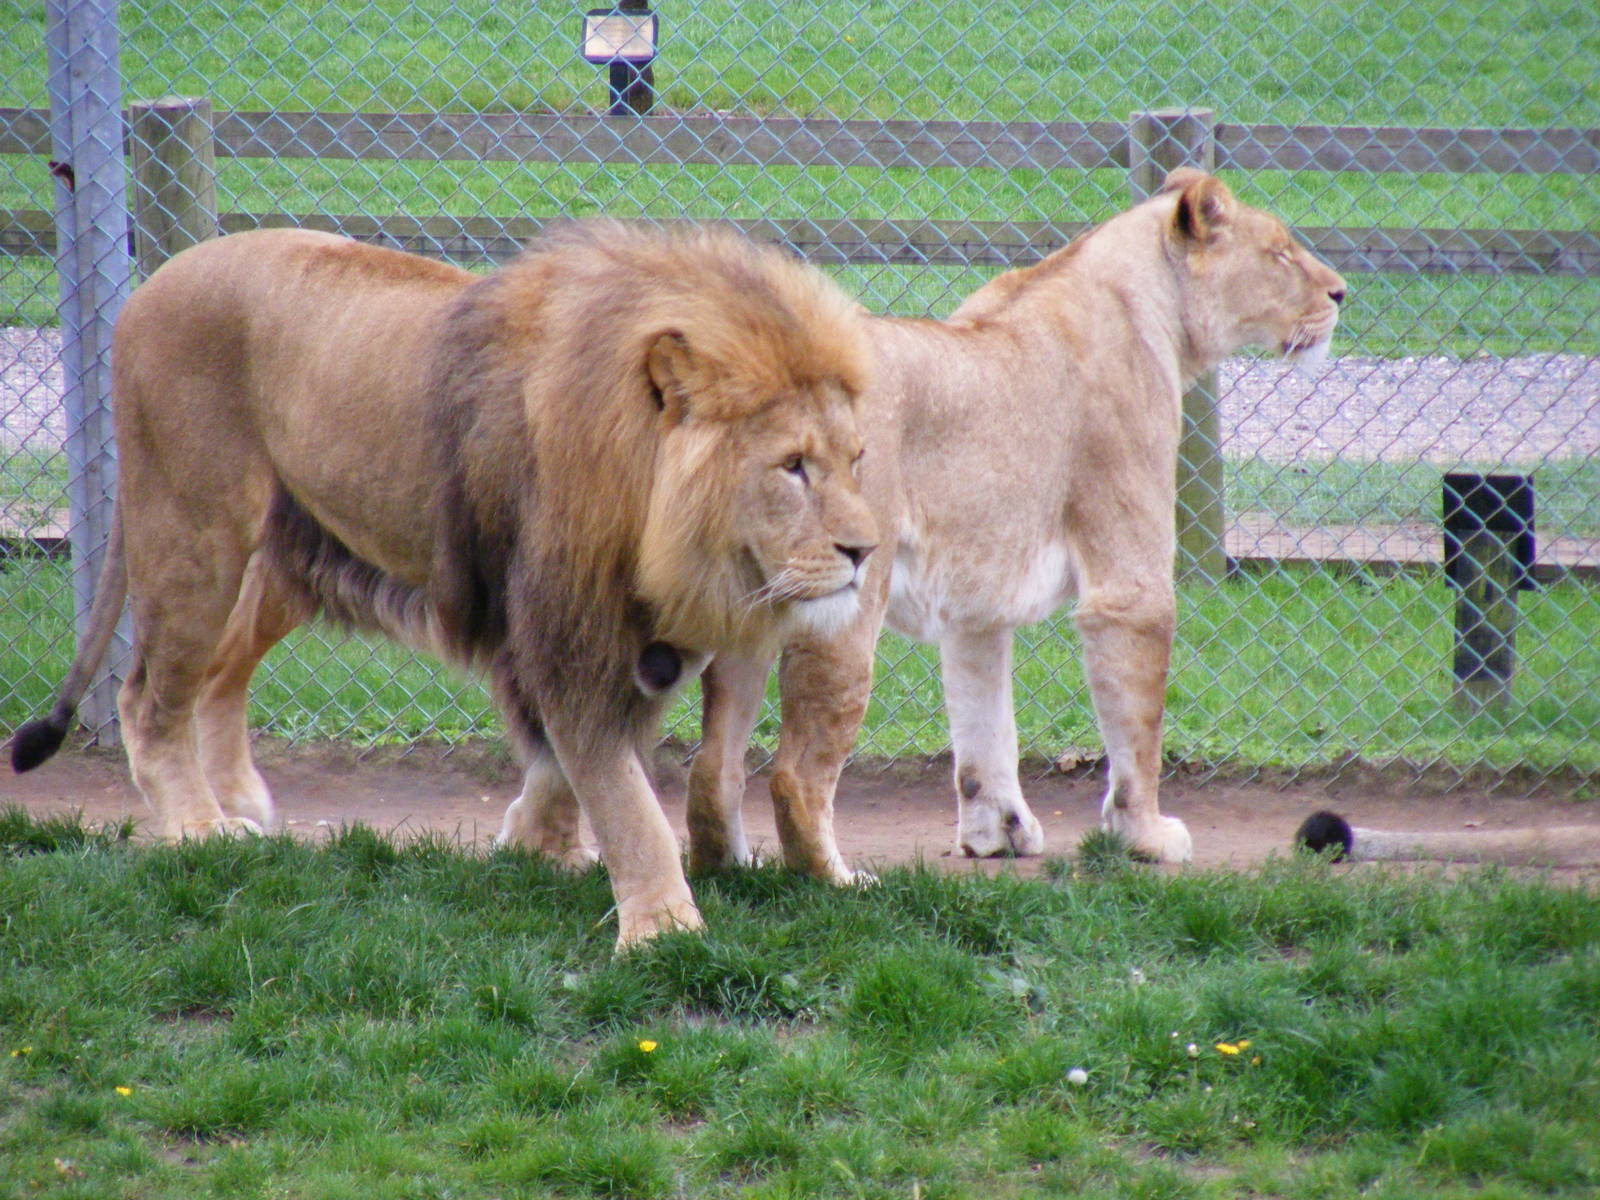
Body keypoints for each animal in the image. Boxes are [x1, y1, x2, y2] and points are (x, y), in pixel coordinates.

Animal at [7, 220, 878, 948]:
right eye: (792, 466)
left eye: (854, 459)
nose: (867, 550)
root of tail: (151, 284)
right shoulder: (568, 631)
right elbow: (623, 794)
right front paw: (662, 929)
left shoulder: (640, 646)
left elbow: (575, 765)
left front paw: (533, 848)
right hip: (193, 535)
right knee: (149, 696)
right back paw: (197, 827)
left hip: (286, 560)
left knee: (220, 675)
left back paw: (241, 802)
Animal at [669, 168, 1349, 877]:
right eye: (1279, 253)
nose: (1342, 293)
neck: (1152, 306)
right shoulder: (1128, 585)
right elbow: (1138, 730)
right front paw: (1145, 837)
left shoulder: (976, 605)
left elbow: (984, 724)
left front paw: (996, 833)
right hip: (845, 592)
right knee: (795, 774)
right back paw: (838, 880)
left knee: (711, 766)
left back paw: (731, 870)